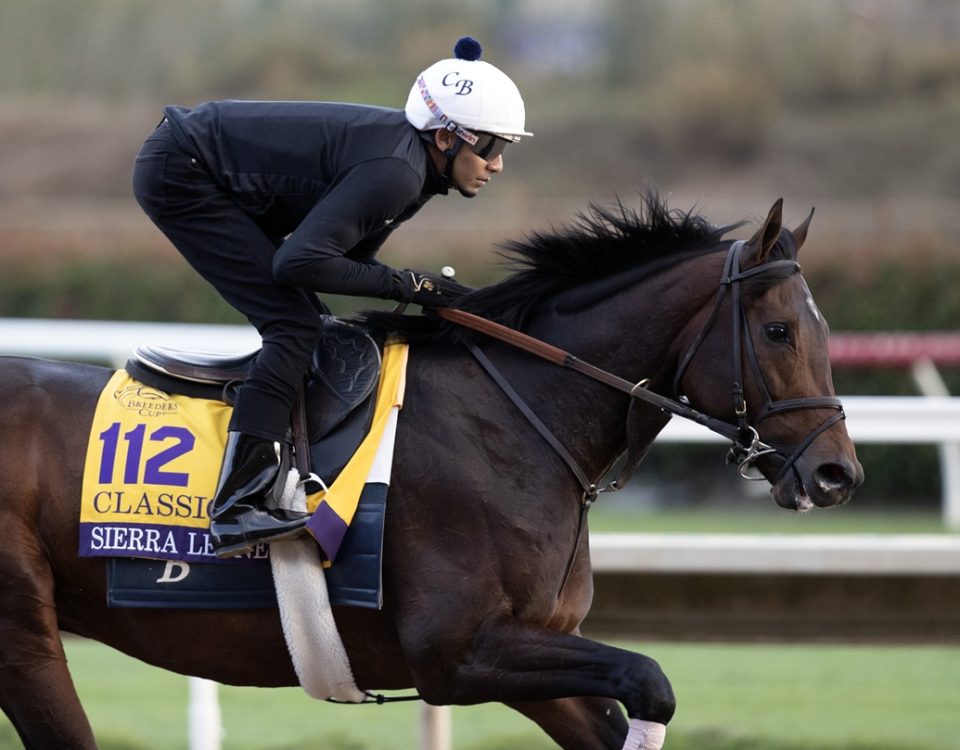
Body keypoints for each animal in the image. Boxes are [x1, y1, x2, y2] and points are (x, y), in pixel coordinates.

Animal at [0, 195, 864, 750]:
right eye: (780, 330)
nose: (836, 473)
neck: (515, 418)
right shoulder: (458, 651)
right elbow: (652, 680)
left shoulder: (532, 655)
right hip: (25, 635)